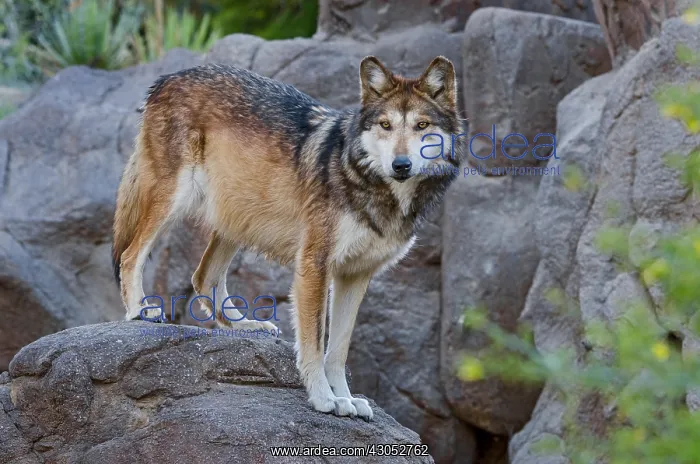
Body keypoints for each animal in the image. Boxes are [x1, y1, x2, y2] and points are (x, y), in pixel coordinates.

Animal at [112, 55, 465, 420]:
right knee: (130, 255)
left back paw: (244, 326)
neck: (378, 189)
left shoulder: (355, 276)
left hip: (236, 218)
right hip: (176, 199)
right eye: (385, 125)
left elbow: (338, 350)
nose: (401, 164)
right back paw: (139, 310)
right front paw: (324, 398)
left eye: (421, 126)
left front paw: (346, 399)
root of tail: (169, 77)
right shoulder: (314, 265)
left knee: (202, 276)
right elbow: (315, 344)